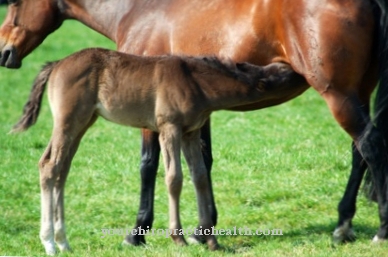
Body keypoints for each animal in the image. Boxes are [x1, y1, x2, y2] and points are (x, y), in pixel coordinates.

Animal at [12, 47, 304, 253]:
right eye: (281, 74)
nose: (298, 71)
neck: (195, 82)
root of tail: (56, 64)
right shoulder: (169, 128)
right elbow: (175, 178)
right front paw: (179, 238)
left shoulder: (190, 132)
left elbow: (200, 177)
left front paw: (211, 241)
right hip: (69, 120)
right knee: (50, 167)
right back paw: (49, 243)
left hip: (83, 122)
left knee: (61, 169)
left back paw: (63, 242)